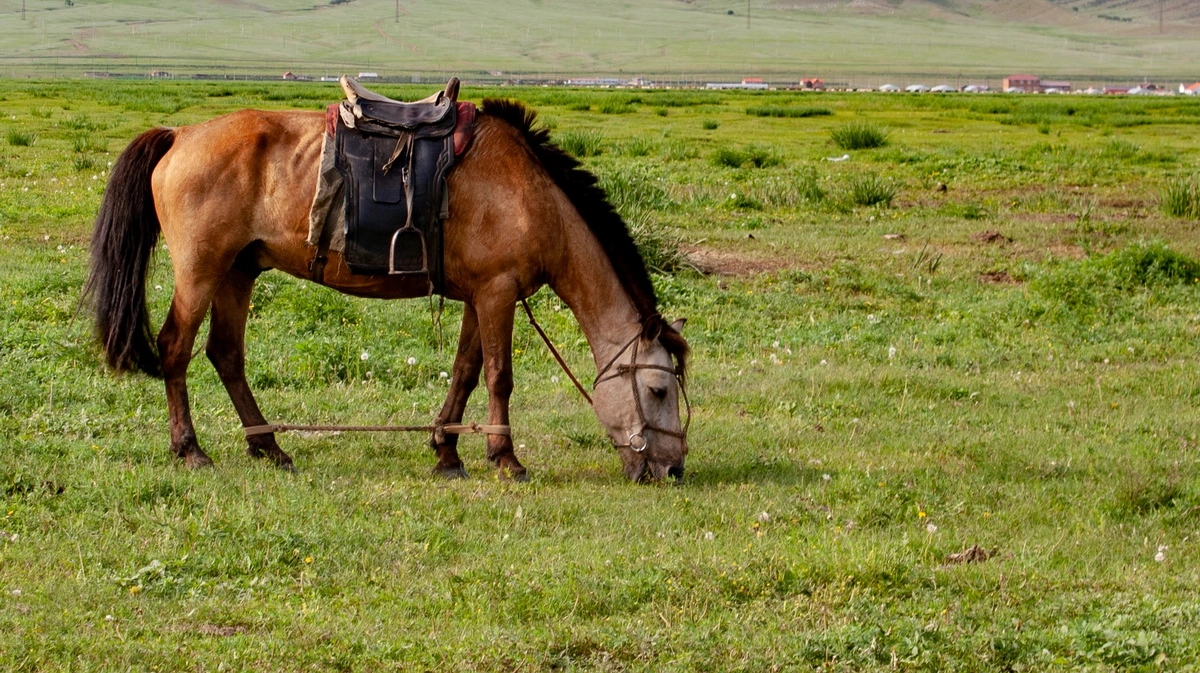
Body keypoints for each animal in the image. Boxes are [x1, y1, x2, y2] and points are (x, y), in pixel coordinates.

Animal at [84, 97, 691, 479]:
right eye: (659, 390)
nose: (672, 469)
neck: (534, 197)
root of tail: (179, 136)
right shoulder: (498, 293)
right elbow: (499, 376)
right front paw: (505, 458)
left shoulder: (479, 295)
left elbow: (466, 370)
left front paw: (447, 452)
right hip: (201, 270)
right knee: (176, 348)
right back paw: (190, 450)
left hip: (238, 271)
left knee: (225, 355)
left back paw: (270, 446)